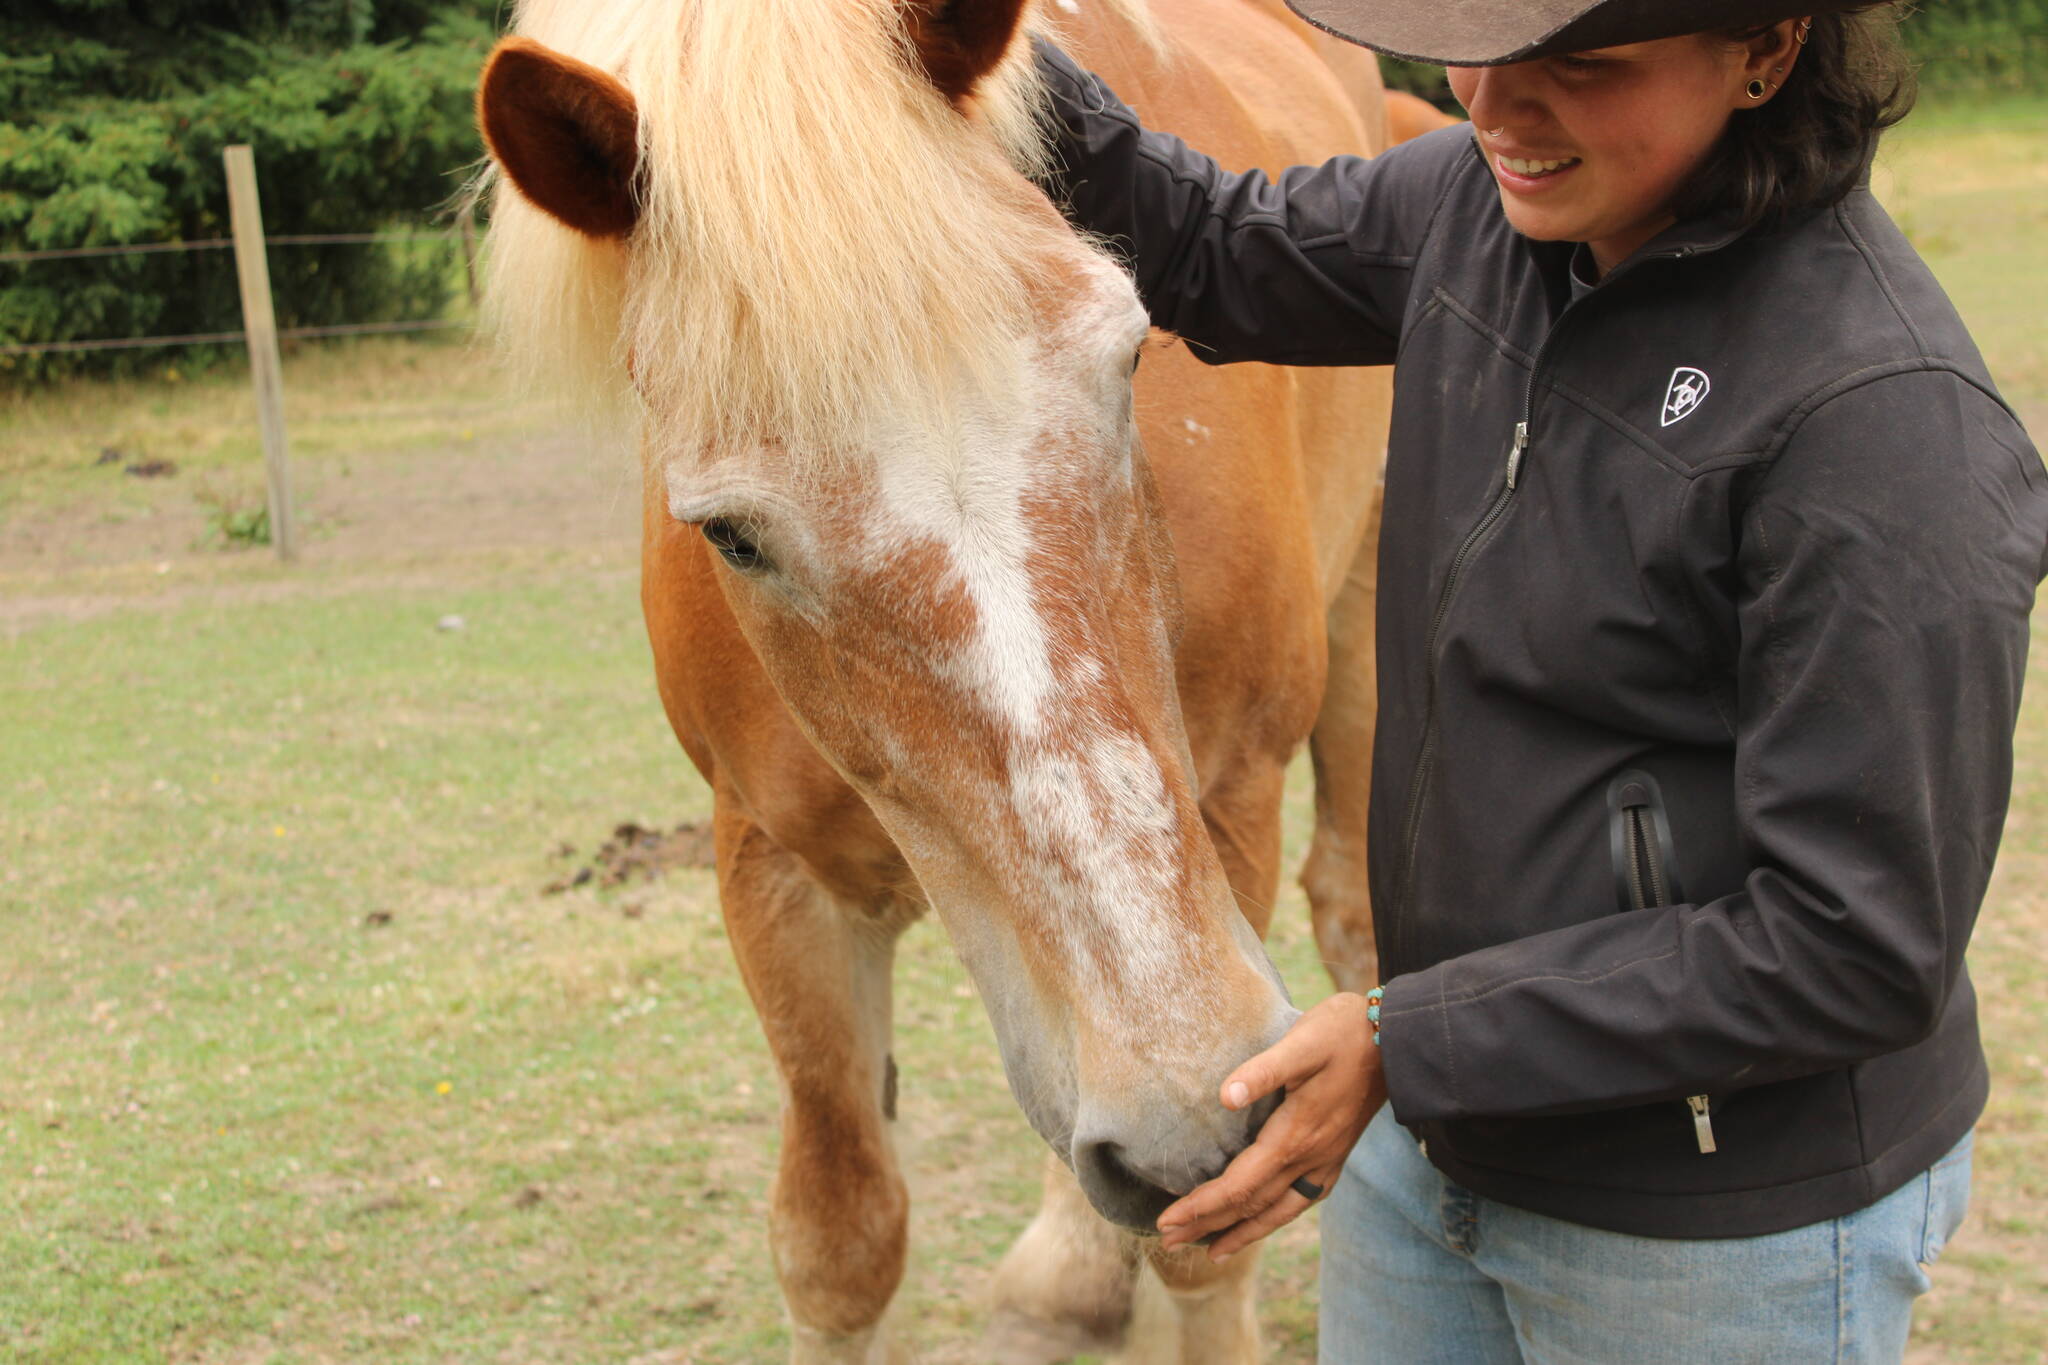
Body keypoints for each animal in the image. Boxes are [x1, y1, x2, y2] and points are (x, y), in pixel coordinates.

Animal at [476, 1, 1397, 1358]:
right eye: (728, 534)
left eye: (1128, 361)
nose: (1183, 1117)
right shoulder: (772, 868)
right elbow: (839, 1240)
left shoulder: (1225, 810)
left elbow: (1201, 1254)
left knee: (1347, 908)